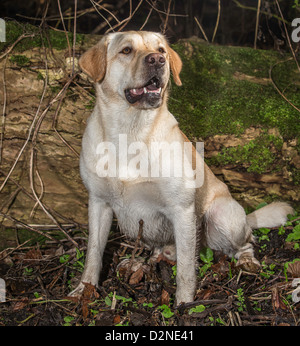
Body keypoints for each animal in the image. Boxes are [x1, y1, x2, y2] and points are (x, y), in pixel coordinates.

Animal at [69, 31, 292, 302]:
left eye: (161, 50)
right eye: (126, 50)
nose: (157, 60)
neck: (130, 132)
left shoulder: (182, 210)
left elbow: (186, 268)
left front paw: (184, 303)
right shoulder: (99, 203)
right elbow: (93, 252)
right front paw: (84, 289)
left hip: (223, 217)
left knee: (245, 242)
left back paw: (247, 261)